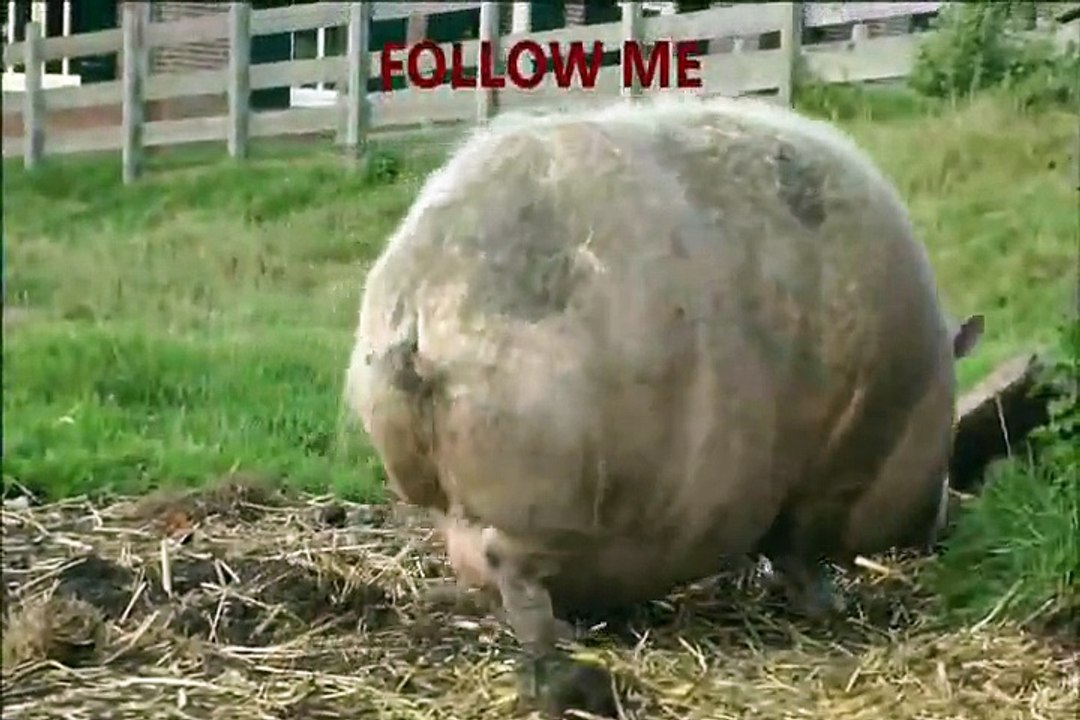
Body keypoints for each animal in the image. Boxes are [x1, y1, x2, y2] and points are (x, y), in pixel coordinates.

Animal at [344, 94, 982, 716]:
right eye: (949, 437)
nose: (943, 523)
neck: (911, 402)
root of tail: (415, 306)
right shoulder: (831, 469)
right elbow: (799, 547)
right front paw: (831, 607)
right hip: (548, 489)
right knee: (511, 567)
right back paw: (564, 669)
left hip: (468, 501)